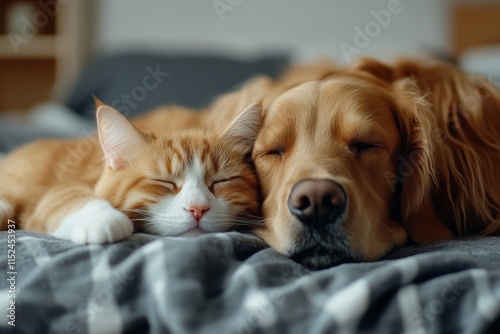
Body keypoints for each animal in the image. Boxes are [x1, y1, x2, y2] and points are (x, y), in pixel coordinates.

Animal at [0, 102, 260, 243]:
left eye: (221, 181)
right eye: (165, 182)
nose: (198, 209)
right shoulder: (47, 197)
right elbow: (69, 197)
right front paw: (105, 219)